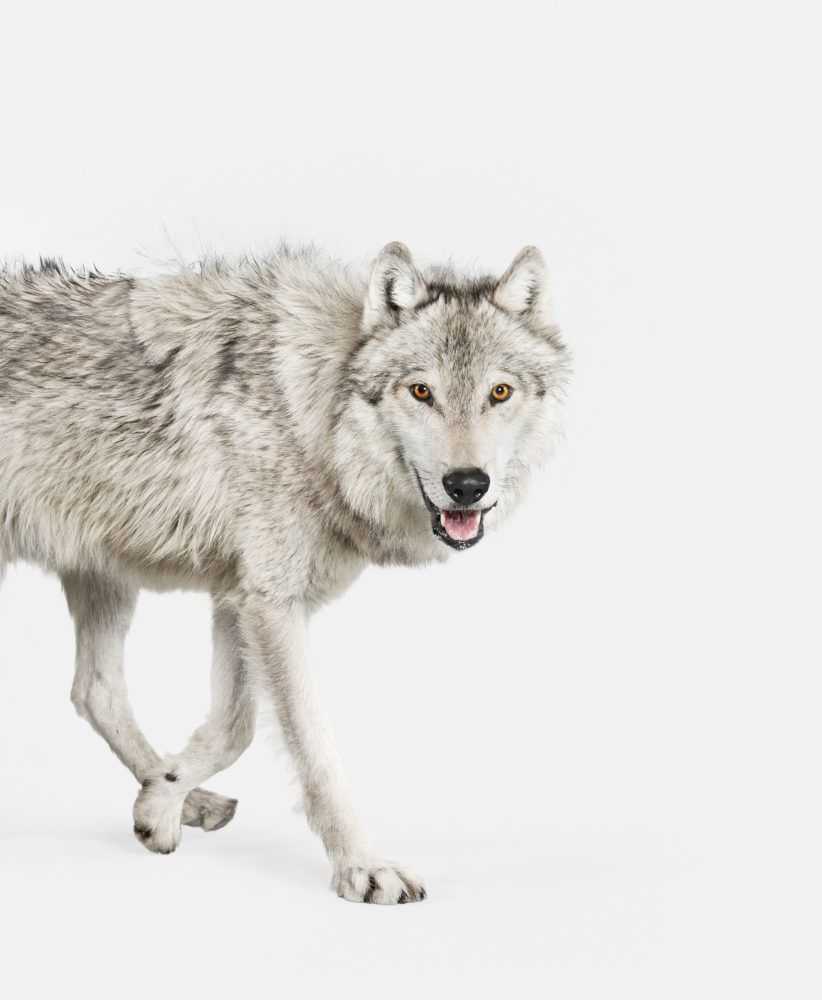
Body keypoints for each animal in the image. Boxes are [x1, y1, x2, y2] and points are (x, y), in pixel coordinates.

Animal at [0, 241, 568, 903]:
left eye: (499, 392)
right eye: (421, 391)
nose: (467, 485)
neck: (312, 416)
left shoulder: (240, 599)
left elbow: (231, 728)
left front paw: (160, 804)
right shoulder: (268, 603)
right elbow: (309, 751)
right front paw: (362, 868)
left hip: (106, 575)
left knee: (94, 692)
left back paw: (190, 801)